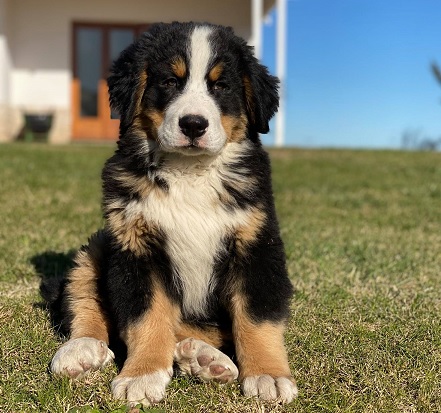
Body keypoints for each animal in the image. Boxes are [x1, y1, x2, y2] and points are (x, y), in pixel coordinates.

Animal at [44, 21, 298, 406]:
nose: (193, 124)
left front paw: (268, 373)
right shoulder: (135, 247)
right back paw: (82, 350)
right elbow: (148, 317)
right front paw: (142, 374)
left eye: (221, 86)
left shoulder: (256, 245)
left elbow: (257, 319)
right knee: (86, 300)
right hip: (96, 249)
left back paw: (203, 358)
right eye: (169, 82)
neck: (189, 172)